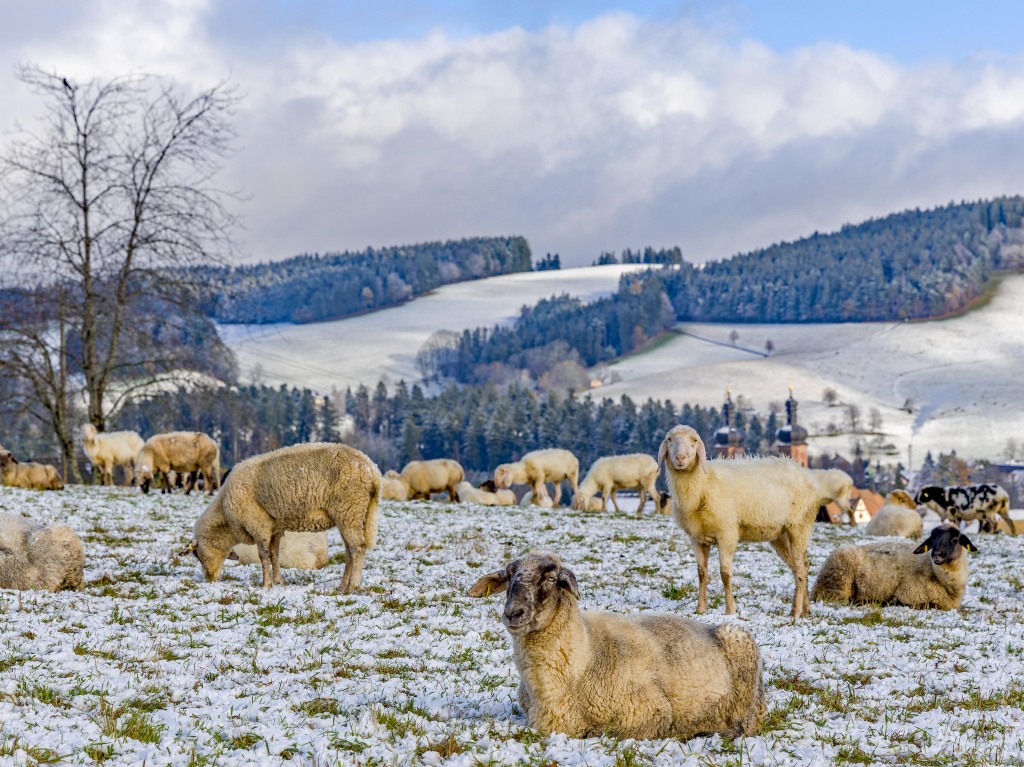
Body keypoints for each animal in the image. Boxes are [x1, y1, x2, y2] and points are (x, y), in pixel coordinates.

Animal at [180, 440, 380, 589]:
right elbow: (274, 554)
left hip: (349, 510)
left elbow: (263, 555)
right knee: (349, 551)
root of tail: (373, 469)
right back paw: (342, 585)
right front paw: (278, 581)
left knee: (357, 548)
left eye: (196, 554)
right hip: (352, 515)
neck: (226, 520)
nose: (209, 579)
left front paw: (266, 584)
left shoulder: (258, 524)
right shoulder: (274, 526)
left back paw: (352, 586)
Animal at [468, 552, 765, 737]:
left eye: (551, 579)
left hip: (742, 671)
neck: (586, 656)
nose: (513, 613)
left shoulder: (650, 713)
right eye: (508, 578)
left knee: (746, 721)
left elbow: (598, 730)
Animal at [659, 423, 827, 614]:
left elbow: (725, 573)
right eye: (669, 439)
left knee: (799, 569)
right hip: (781, 535)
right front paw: (700, 609)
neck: (703, 484)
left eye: (694, 441)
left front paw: (730, 610)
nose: (680, 458)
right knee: (803, 566)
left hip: (799, 526)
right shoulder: (697, 538)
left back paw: (795, 612)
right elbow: (701, 573)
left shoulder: (727, 533)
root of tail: (808, 475)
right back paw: (805, 610)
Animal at [806, 520, 974, 610]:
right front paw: (893, 601)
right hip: (838, 583)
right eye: (932, 539)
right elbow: (925, 604)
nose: (936, 555)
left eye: (954, 539)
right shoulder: (910, 594)